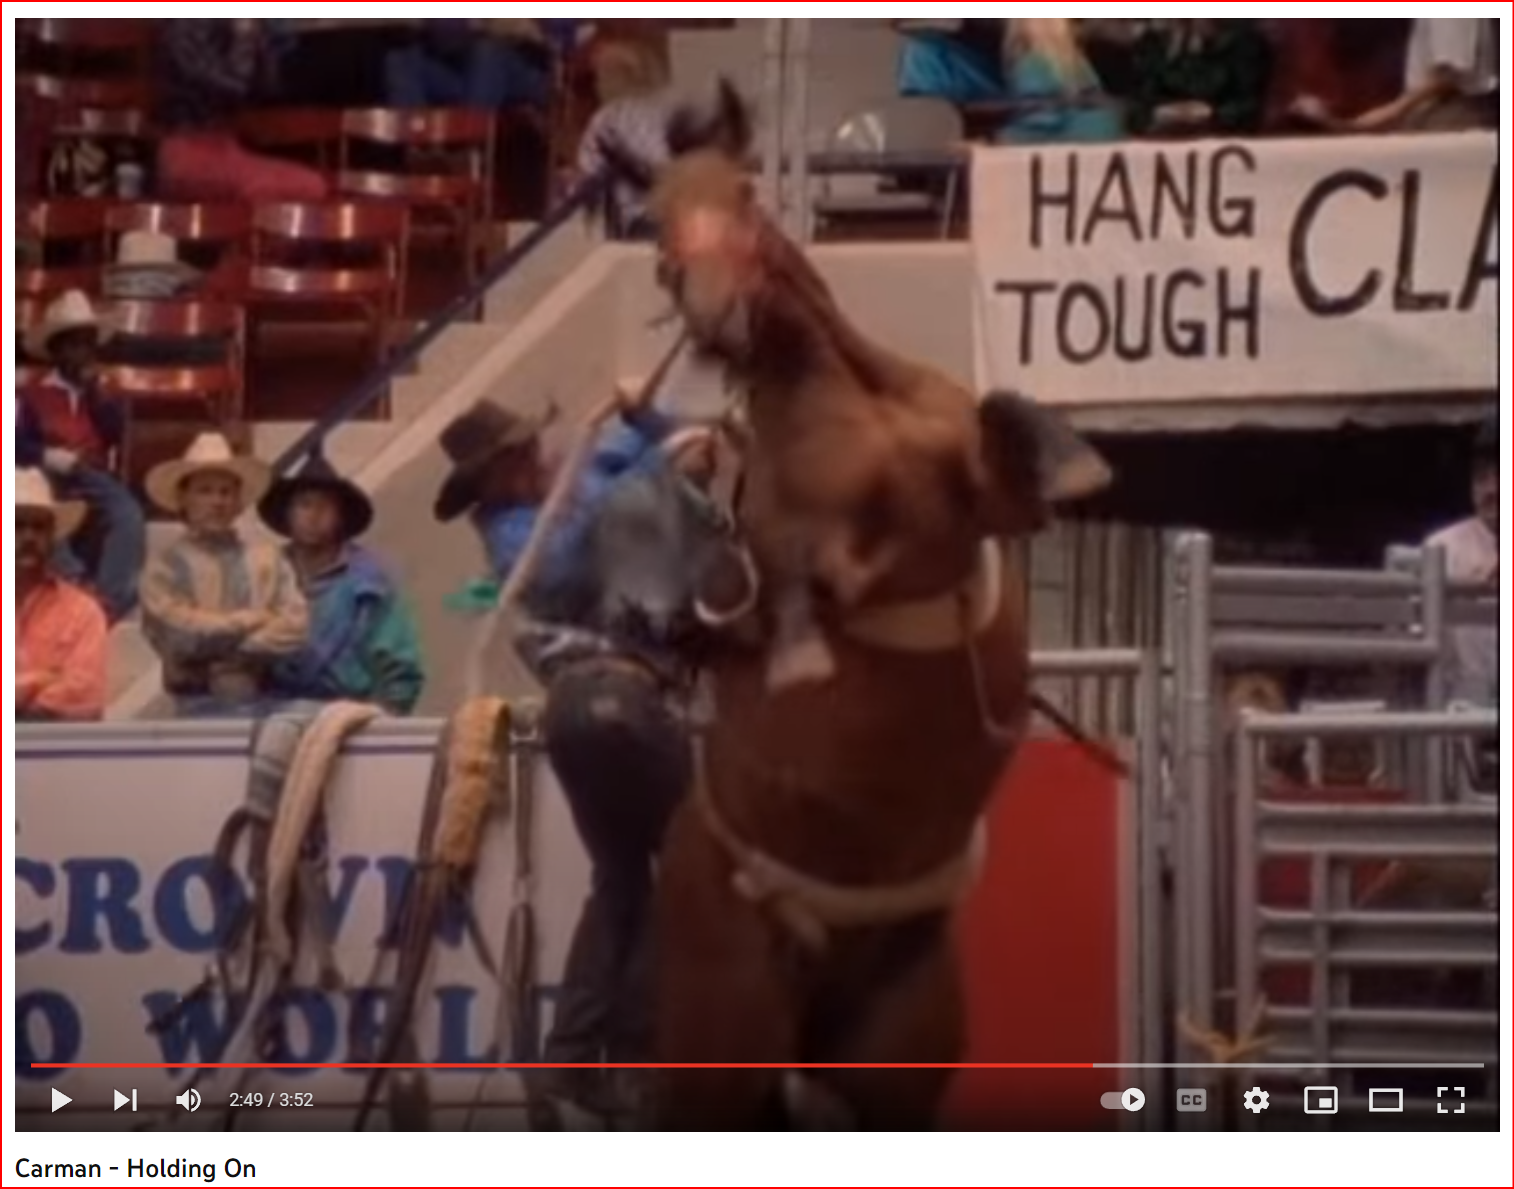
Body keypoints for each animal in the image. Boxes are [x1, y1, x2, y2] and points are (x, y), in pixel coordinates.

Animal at [602, 79, 1114, 1129]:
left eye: (745, 189)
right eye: (656, 220)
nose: (718, 312)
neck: (854, 396)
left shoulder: (979, 493)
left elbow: (999, 442)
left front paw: (1067, 455)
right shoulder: (812, 549)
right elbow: (807, 576)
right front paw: (797, 640)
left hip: (900, 1052)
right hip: (725, 1042)